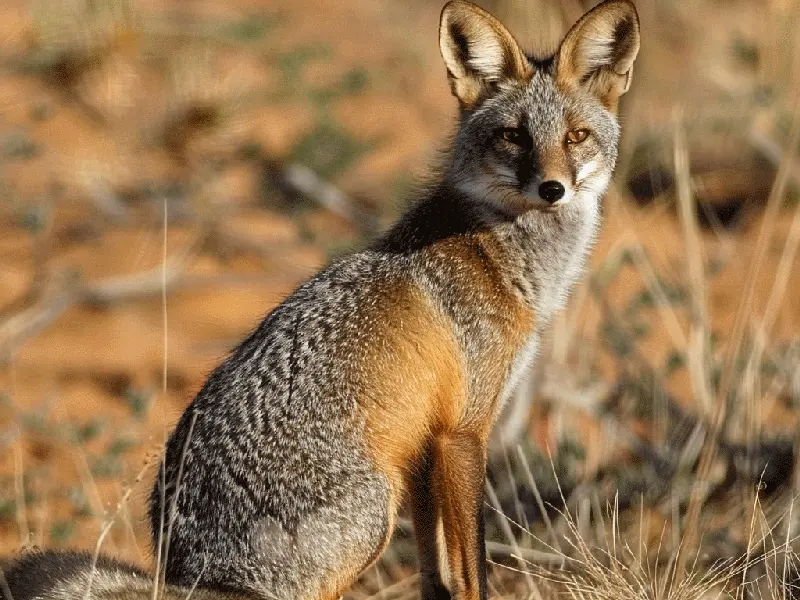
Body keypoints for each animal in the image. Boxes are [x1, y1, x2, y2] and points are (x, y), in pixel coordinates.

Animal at [146, 2, 641, 600]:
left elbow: (436, 574)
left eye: (576, 136)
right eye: (514, 137)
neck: (496, 254)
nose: (552, 189)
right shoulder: (462, 433)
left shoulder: (424, 448)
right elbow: (472, 572)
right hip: (372, 521)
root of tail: (178, 558)